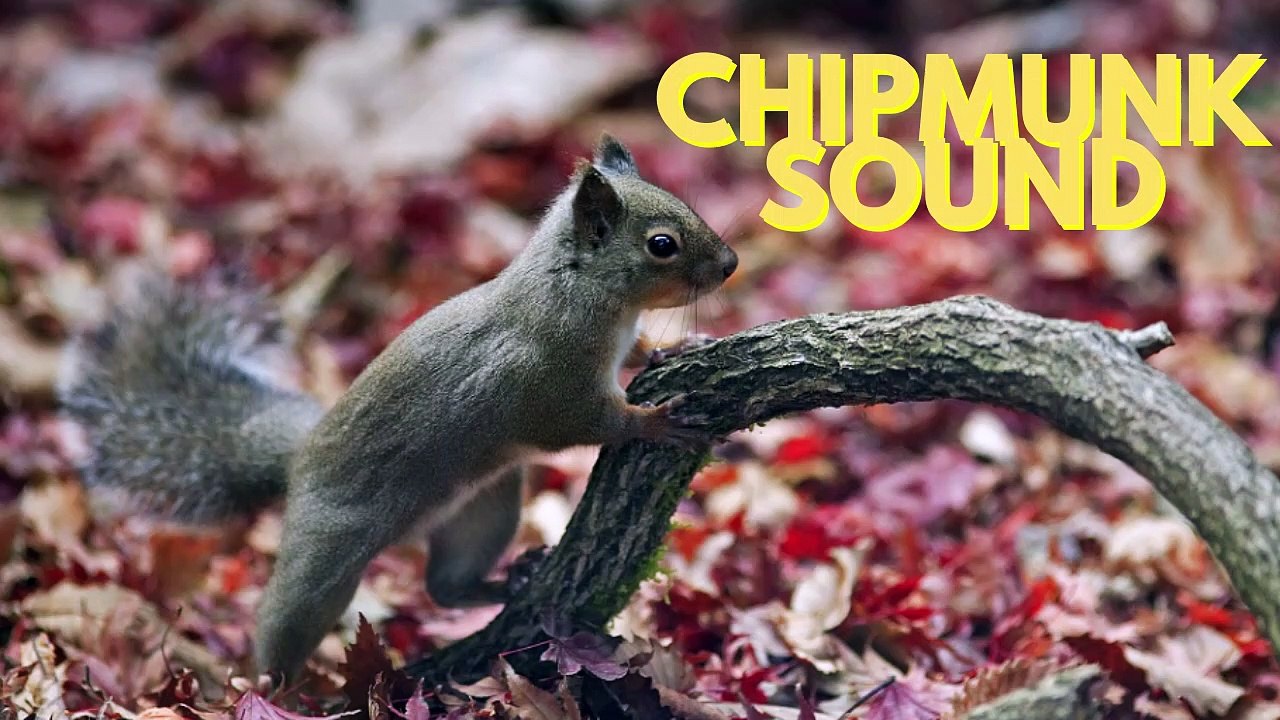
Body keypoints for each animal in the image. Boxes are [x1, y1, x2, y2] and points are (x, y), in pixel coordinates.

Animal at [58, 135, 738, 682]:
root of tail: (298, 461)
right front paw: (655, 421)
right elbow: (583, 423)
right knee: (287, 616)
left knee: (446, 586)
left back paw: (508, 580)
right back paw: (273, 689)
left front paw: (677, 345)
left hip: (484, 508)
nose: (730, 264)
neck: (576, 286)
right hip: (326, 553)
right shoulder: (548, 382)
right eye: (661, 244)